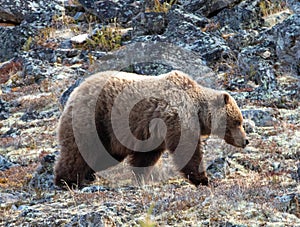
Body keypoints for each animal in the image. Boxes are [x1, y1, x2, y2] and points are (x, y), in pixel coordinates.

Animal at [54, 70, 248, 187]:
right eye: (238, 121)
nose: (246, 140)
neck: (198, 110)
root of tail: (75, 92)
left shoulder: (153, 135)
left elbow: (145, 157)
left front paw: (140, 178)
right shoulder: (178, 117)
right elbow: (187, 150)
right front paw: (204, 179)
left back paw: (88, 175)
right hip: (94, 119)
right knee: (79, 150)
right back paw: (67, 180)